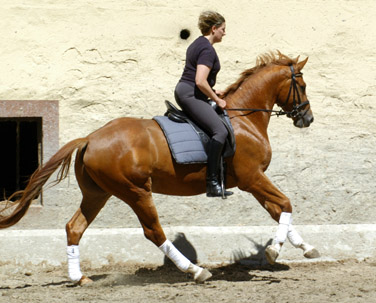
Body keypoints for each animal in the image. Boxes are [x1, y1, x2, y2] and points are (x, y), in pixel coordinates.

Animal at [0, 51, 318, 286]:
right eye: (302, 85)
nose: (307, 118)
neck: (245, 119)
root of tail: (90, 138)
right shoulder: (252, 178)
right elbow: (285, 204)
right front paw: (274, 251)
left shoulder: (252, 181)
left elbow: (278, 210)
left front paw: (306, 248)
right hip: (136, 190)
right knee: (154, 231)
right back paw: (195, 271)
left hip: (98, 192)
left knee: (74, 227)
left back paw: (79, 278)